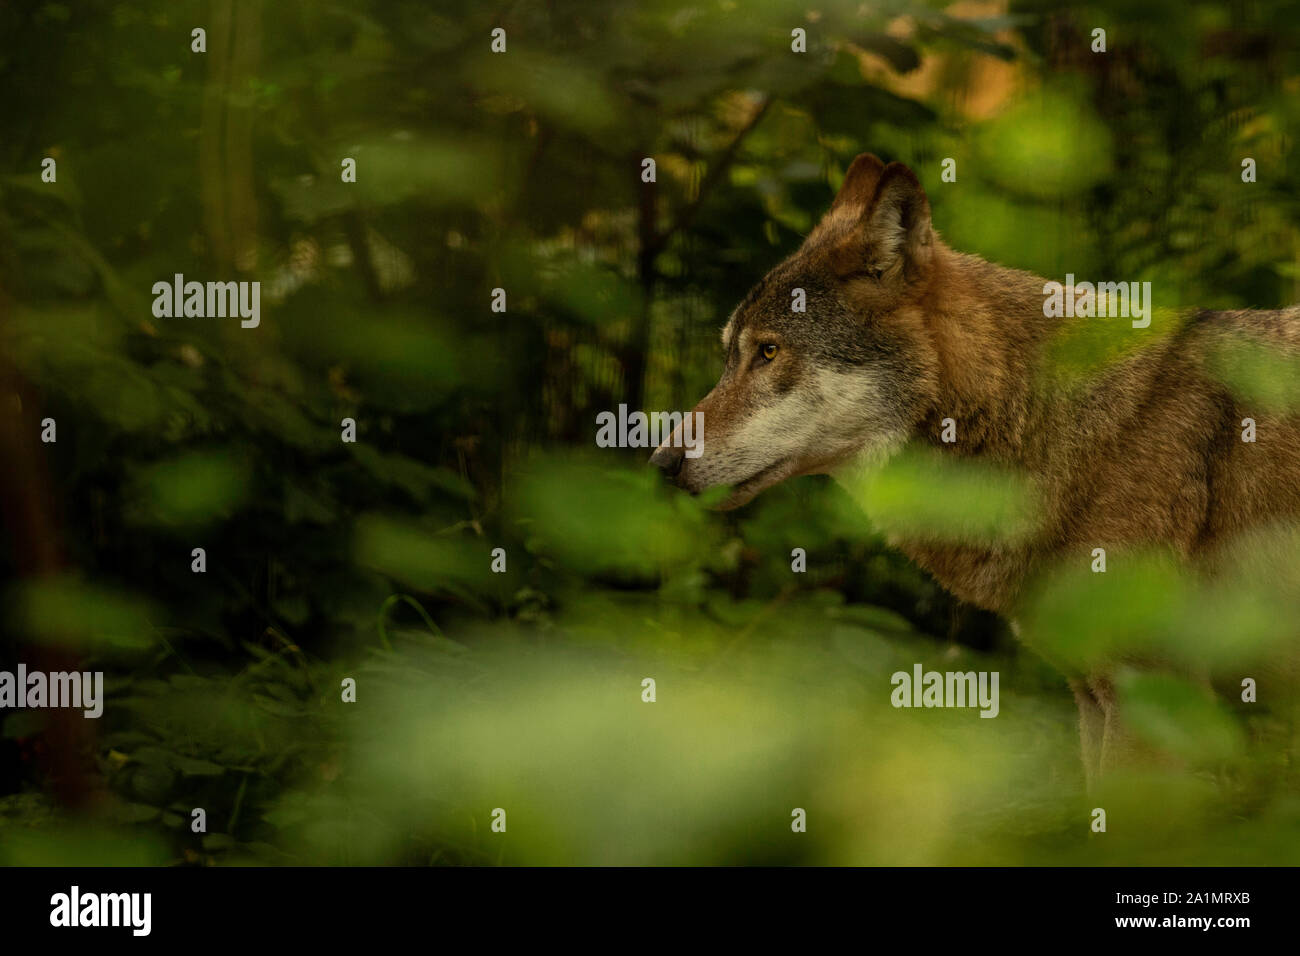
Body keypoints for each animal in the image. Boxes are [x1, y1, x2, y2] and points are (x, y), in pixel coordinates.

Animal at [647, 153, 1300, 790]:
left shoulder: (1152, 696)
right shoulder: (1094, 697)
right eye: (730, 356)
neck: (1054, 422)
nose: (660, 462)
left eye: (769, 352)